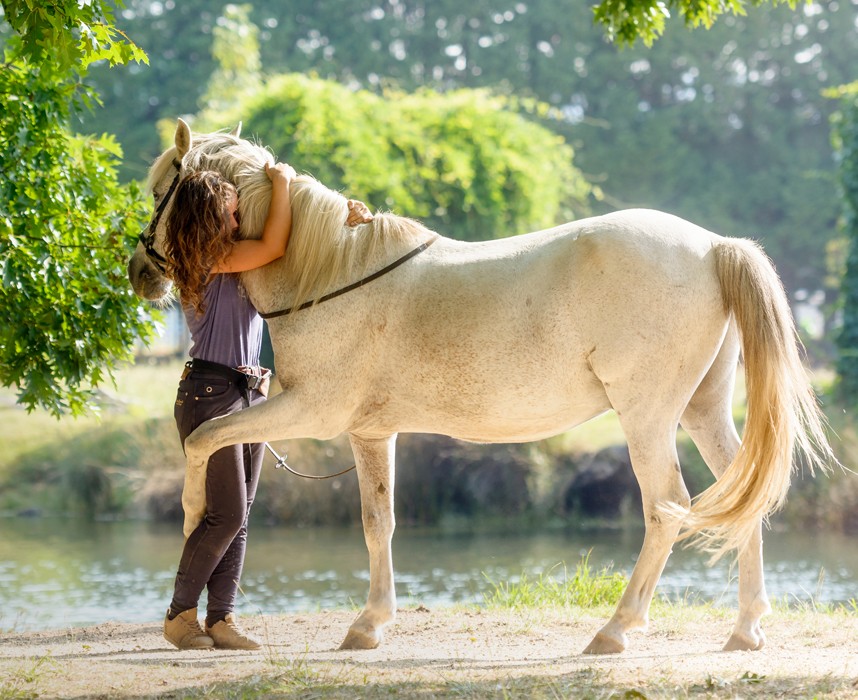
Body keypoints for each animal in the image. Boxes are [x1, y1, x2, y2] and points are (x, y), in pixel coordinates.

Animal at [127, 119, 828, 656]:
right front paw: (369, 625)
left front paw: (190, 515)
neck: (330, 273)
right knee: (742, 494)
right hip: (703, 410)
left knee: (667, 507)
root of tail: (712, 247)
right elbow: (378, 522)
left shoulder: (310, 412)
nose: (139, 271)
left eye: (162, 189)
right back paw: (745, 630)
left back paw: (616, 631)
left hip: (647, 417)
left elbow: (205, 439)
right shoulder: (371, 432)